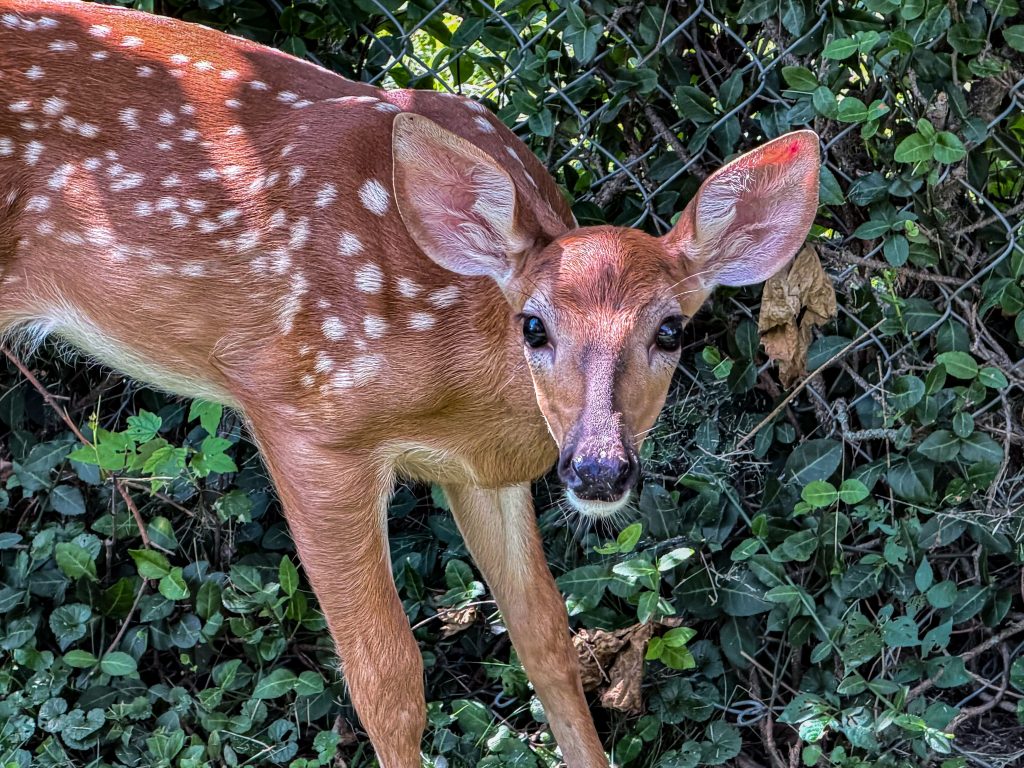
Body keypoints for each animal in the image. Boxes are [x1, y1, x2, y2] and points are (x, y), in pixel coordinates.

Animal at [0, 1, 821, 764]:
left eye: (671, 331)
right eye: (534, 326)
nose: (598, 468)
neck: (457, 380)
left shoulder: (486, 472)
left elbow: (547, 640)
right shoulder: (302, 413)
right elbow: (387, 679)